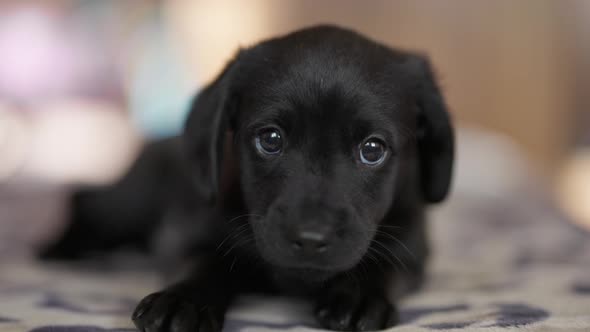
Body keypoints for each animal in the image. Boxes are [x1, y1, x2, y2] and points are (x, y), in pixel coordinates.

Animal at [44, 24, 456, 330]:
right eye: (270, 139)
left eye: (372, 149)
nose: (311, 238)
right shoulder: (188, 232)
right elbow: (205, 261)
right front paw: (183, 298)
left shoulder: (412, 244)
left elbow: (386, 263)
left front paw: (359, 295)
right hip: (129, 203)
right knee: (84, 201)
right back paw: (62, 248)